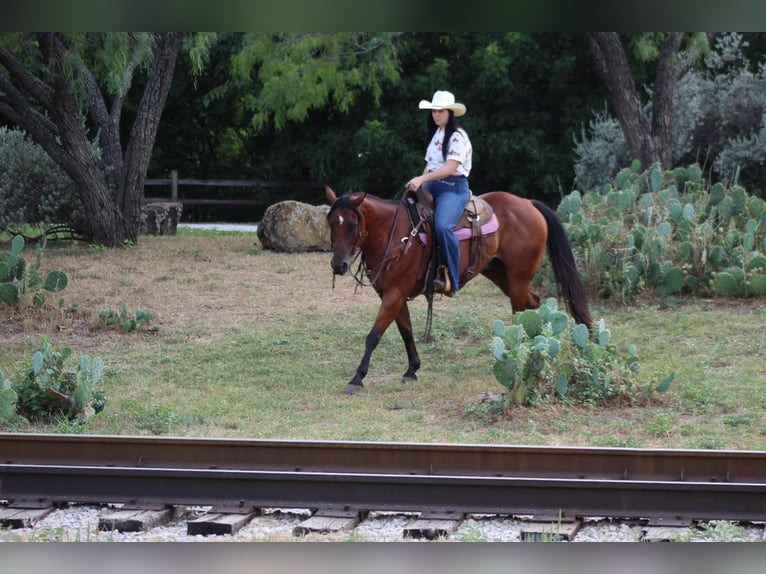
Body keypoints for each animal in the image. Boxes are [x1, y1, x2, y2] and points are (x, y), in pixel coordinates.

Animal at [324, 188, 592, 396]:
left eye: (353, 224)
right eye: (331, 224)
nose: (339, 265)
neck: (395, 234)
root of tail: (528, 203)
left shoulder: (394, 294)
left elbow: (374, 336)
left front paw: (357, 378)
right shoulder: (393, 295)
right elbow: (406, 332)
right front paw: (412, 369)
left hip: (518, 278)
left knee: (520, 315)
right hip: (500, 274)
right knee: (533, 304)